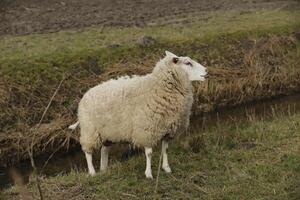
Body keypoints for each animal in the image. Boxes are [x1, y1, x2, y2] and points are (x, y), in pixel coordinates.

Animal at [69, 51, 207, 178]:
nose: (206, 71)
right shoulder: (147, 130)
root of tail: (85, 95)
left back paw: (104, 170)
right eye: (188, 63)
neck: (156, 87)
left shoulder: (168, 129)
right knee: (88, 152)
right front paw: (149, 174)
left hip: (107, 132)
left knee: (104, 150)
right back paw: (92, 172)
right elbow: (149, 153)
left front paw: (166, 168)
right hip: (90, 131)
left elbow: (165, 150)